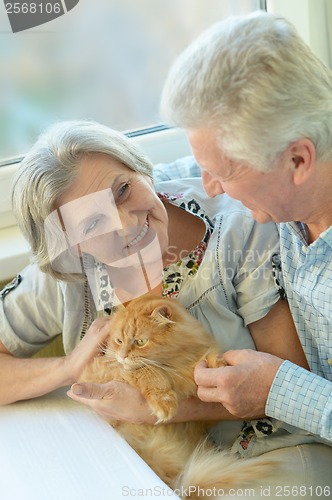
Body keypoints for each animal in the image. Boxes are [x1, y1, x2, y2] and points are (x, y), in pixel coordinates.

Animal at [81, 294, 278, 498]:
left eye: (141, 342)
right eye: (119, 341)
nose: (122, 355)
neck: (174, 366)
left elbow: (209, 359)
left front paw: (220, 365)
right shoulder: (101, 372)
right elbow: (147, 370)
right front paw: (165, 403)